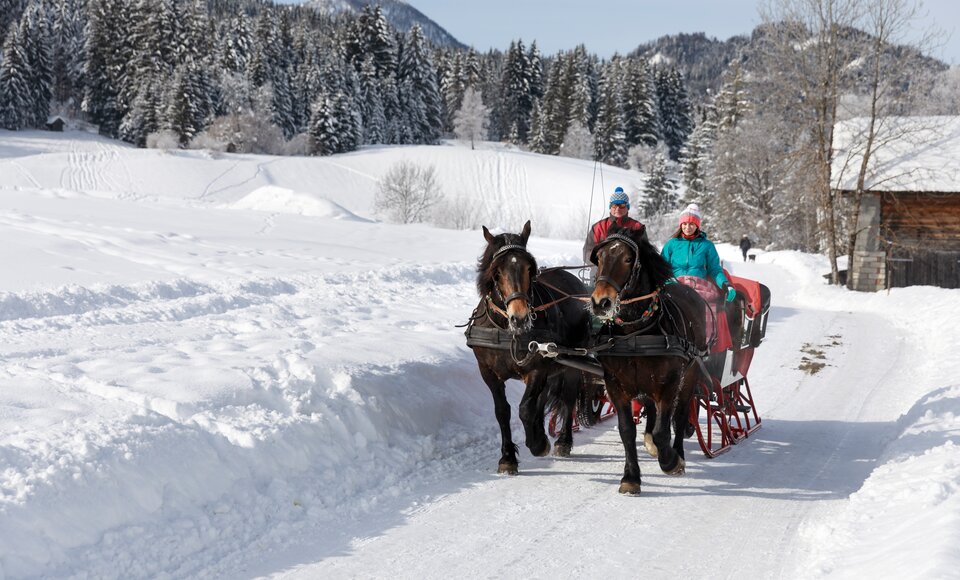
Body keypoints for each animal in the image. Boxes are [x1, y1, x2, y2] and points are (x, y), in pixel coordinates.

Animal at [464, 220, 592, 474]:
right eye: (497, 271)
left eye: (530, 269)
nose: (520, 318)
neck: (506, 330)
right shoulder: (488, 372)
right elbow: (503, 411)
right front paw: (507, 457)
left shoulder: (536, 369)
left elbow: (525, 408)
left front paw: (537, 443)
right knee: (542, 400)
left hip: (573, 363)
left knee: (568, 398)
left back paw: (562, 441)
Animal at [584, 224, 712, 492]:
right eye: (599, 258)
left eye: (628, 259)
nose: (601, 302)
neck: (635, 333)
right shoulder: (616, 385)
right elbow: (626, 430)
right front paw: (631, 477)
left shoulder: (670, 383)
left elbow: (664, 430)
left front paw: (671, 461)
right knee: (651, 410)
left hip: (690, 375)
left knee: (680, 415)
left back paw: (676, 452)